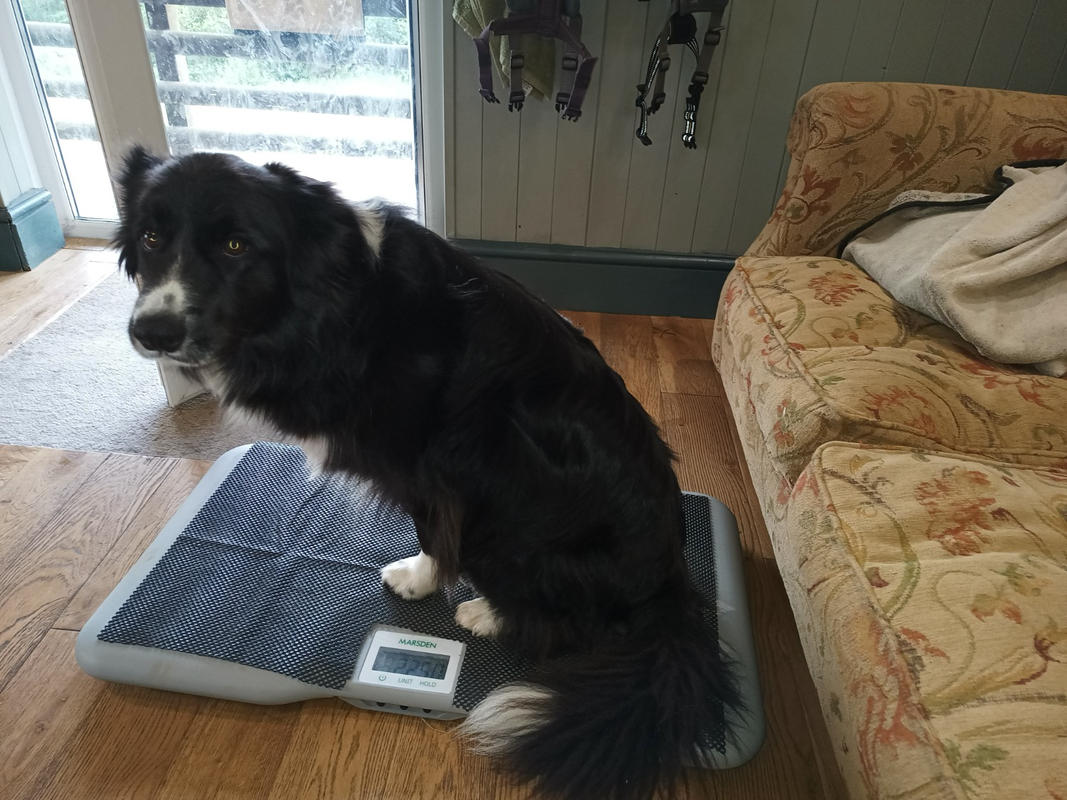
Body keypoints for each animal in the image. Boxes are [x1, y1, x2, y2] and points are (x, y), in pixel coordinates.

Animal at [114, 147, 734, 797]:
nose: (152, 332)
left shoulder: (435, 467)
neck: (336, 299)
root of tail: (669, 589)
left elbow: (435, 531)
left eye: (236, 246)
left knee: (572, 627)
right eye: (151, 237)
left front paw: (420, 580)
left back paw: (491, 611)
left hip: (510, 516)